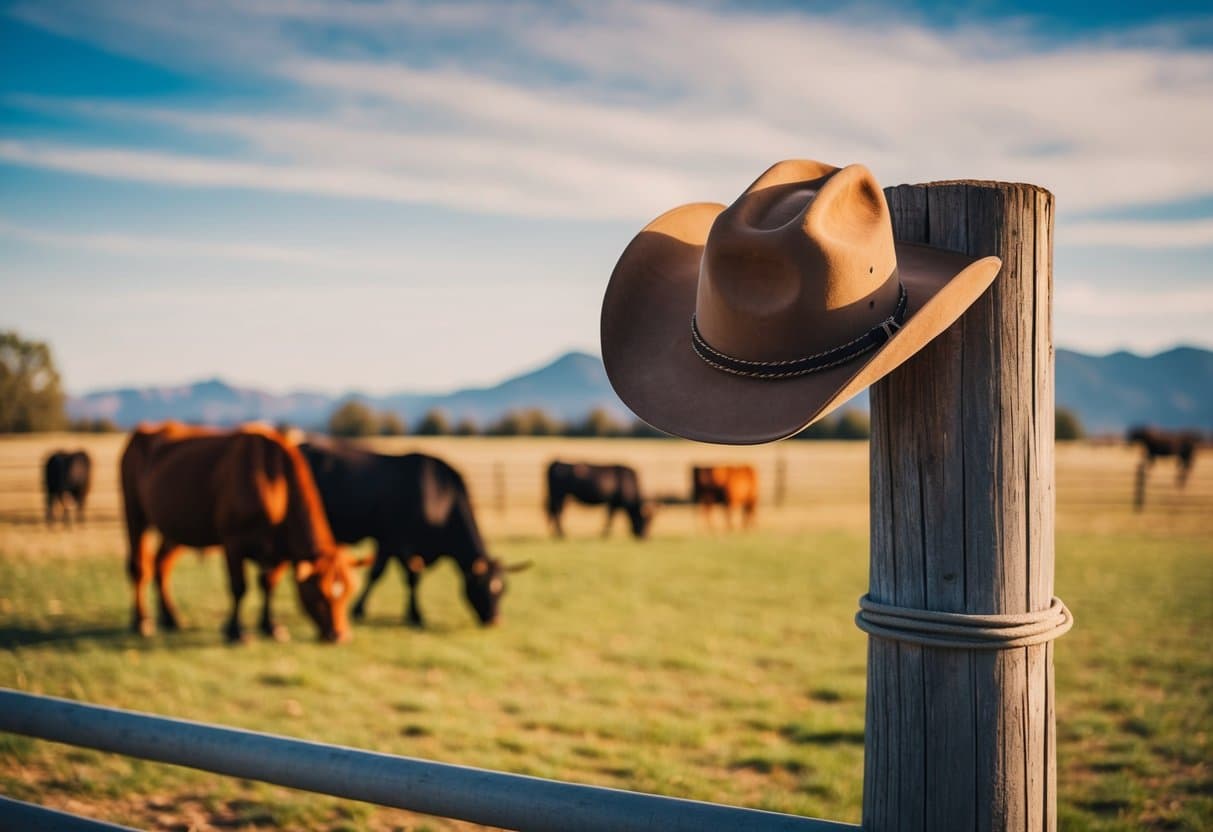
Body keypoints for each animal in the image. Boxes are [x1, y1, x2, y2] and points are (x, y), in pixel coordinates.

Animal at [120, 424, 361, 645]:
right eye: (319, 594)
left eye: (349, 592)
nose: (340, 635)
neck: (276, 485)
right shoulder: (233, 543)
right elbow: (239, 587)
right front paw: (235, 631)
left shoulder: (282, 550)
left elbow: (268, 584)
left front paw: (270, 626)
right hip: (134, 511)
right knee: (139, 567)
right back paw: (141, 621)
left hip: (176, 528)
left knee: (161, 565)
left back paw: (171, 618)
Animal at [298, 443, 526, 625]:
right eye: (481, 585)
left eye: (503, 588)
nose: (496, 620)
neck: (439, 496)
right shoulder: (393, 542)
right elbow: (393, 576)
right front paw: (412, 616)